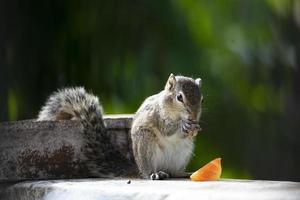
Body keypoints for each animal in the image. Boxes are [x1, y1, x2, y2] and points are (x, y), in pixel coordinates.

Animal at [37, 73, 202, 180]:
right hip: (146, 144)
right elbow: (166, 128)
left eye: (202, 99)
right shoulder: (156, 114)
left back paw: (183, 173)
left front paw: (195, 128)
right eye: (179, 97)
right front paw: (182, 125)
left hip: (184, 151)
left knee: (173, 172)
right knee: (148, 171)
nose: (193, 117)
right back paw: (154, 174)